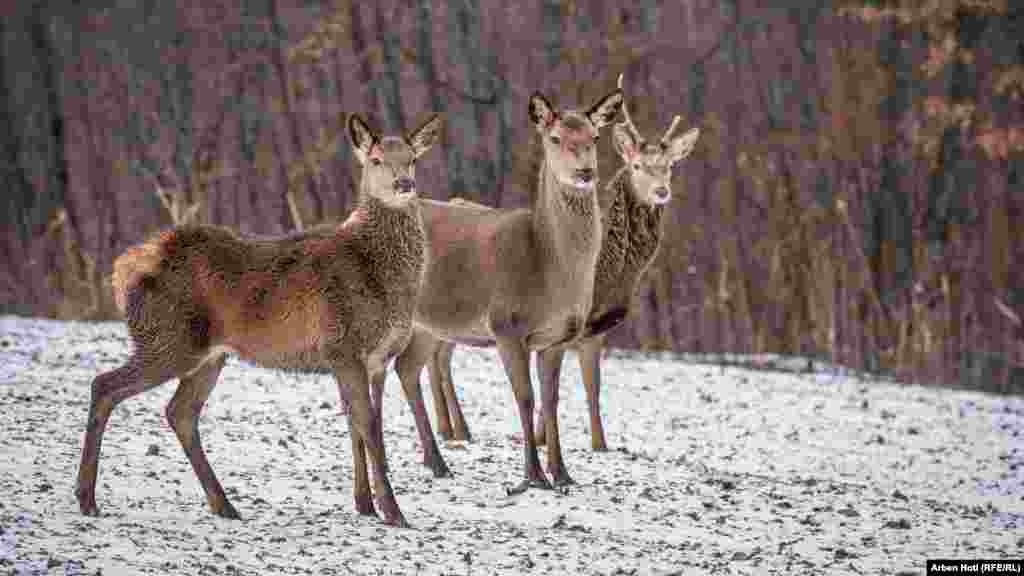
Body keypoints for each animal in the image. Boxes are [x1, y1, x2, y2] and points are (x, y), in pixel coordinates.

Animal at [72, 111, 440, 524]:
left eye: (413, 158)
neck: (382, 277)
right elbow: (369, 427)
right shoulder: (343, 345)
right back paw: (87, 497)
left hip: (209, 355)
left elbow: (358, 426)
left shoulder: (373, 359)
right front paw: (393, 512)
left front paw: (365, 505)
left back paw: (223, 504)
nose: (404, 184)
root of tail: (123, 271)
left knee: (179, 411)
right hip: (168, 338)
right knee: (104, 385)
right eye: (376, 160)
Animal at [387, 85, 618, 487]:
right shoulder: (506, 325)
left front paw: (563, 474)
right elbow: (524, 397)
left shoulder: (558, 338)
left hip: (429, 325)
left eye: (595, 137)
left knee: (405, 367)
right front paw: (534, 475)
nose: (585, 172)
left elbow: (551, 399)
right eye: (555, 138)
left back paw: (436, 462)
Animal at [421, 72, 696, 457]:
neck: (614, 274)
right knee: (436, 356)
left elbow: (590, 387)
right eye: (636, 166)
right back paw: (452, 430)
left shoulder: (595, 328)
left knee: (438, 355)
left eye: (670, 167)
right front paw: (554, 441)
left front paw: (596, 443)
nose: (661, 192)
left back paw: (453, 429)